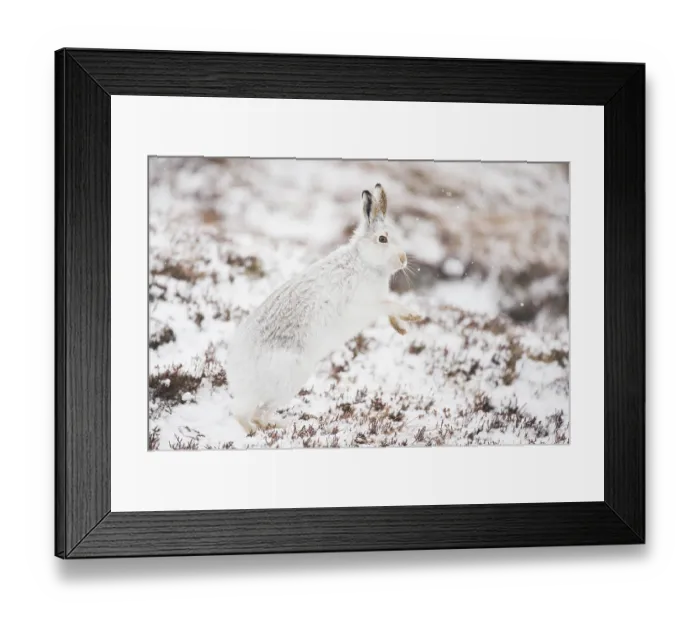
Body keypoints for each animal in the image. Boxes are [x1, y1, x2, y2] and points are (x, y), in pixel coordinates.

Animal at [226, 183, 422, 432]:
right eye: (382, 239)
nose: (403, 259)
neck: (364, 261)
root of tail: (236, 374)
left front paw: (403, 329)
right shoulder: (364, 305)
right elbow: (390, 305)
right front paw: (413, 315)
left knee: (257, 412)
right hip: (290, 379)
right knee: (248, 413)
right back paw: (261, 429)